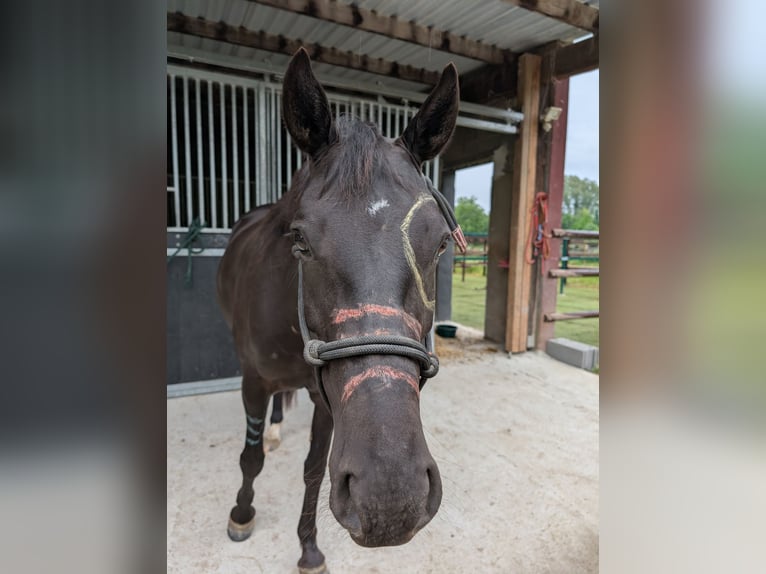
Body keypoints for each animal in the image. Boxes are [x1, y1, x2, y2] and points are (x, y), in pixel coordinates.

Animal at [217, 47, 461, 573]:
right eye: (300, 240)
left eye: (440, 243)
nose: (391, 497)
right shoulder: (253, 381)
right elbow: (250, 459)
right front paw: (242, 514)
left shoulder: (325, 396)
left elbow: (313, 471)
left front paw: (308, 549)